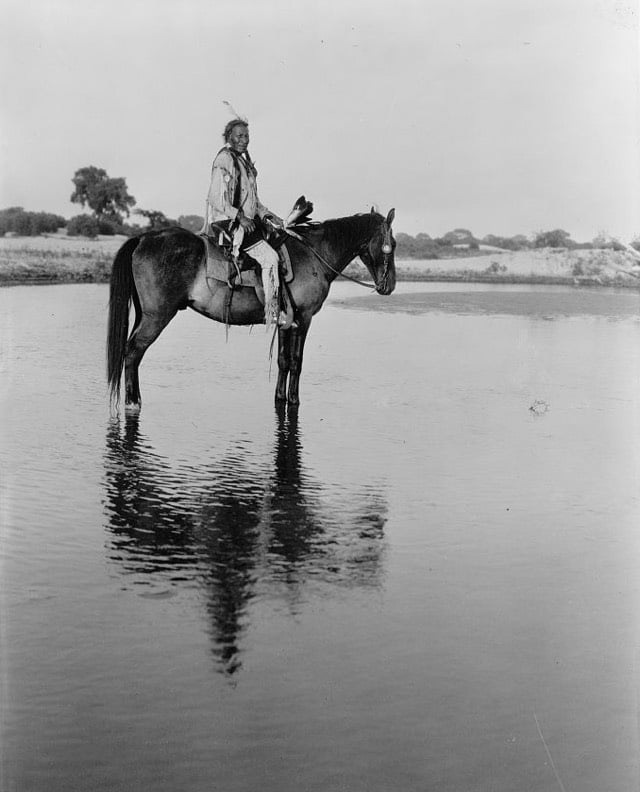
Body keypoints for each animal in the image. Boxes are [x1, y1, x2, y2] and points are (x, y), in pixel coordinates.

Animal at [106, 207, 396, 408]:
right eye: (391, 245)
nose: (389, 285)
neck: (314, 254)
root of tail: (143, 239)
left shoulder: (286, 320)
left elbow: (283, 361)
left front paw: (280, 398)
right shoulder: (304, 318)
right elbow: (297, 361)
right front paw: (295, 401)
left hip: (144, 314)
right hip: (157, 316)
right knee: (133, 352)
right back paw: (133, 402)